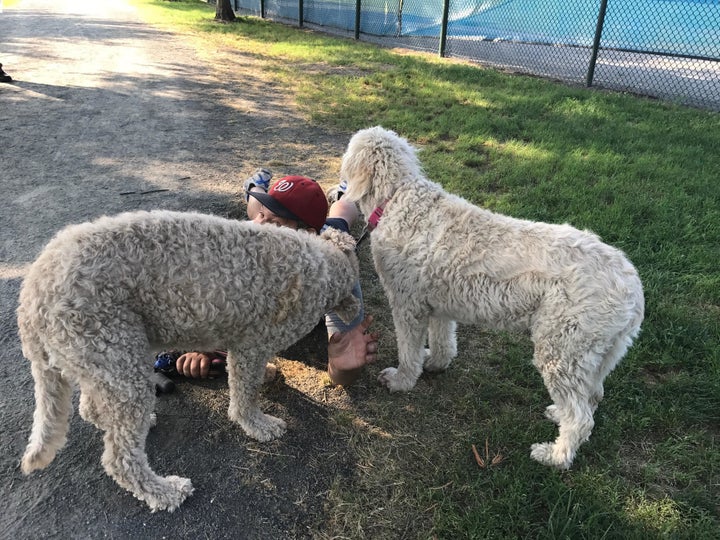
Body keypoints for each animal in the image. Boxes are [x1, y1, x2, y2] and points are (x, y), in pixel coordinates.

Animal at [18, 210, 360, 510]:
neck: (323, 265)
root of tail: (32, 291)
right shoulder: (251, 345)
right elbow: (245, 395)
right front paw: (257, 424)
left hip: (106, 358)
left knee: (91, 406)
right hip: (115, 352)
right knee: (120, 459)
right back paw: (164, 491)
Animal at [340, 125, 644, 468]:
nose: (338, 190)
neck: (399, 198)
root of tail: (632, 284)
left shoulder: (407, 305)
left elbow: (408, 351)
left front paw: (401, 380)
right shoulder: (440, 305)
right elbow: (444, 340)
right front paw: (436, 363)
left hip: (561, 349)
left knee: (580, 417)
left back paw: (555, 456)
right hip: (596, 352)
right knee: (591, 396)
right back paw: (558, 417)